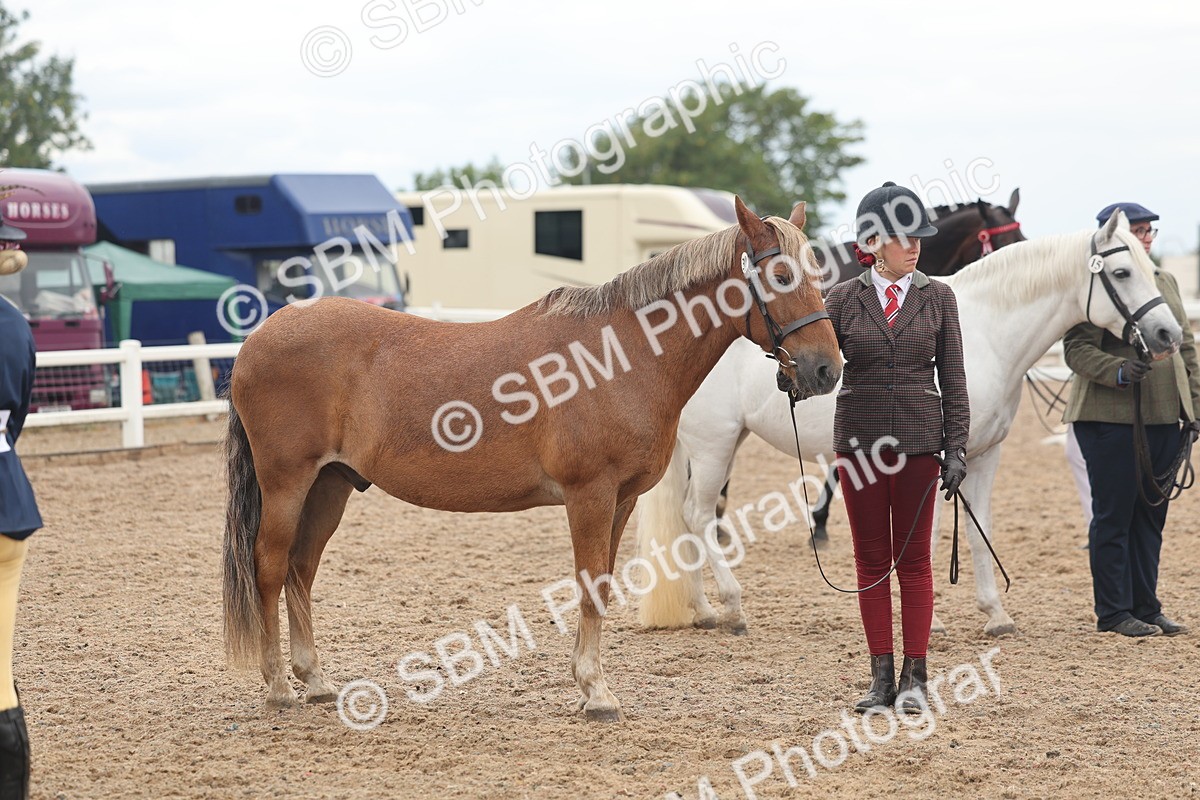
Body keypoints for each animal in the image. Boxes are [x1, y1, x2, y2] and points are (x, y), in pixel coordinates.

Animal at [221, 197, 842, 722]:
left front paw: (590, 684)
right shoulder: (589, 494)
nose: (825, 370)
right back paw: (278, 687)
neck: (619, 356)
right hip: (287, 483)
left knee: (301, 569)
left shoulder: (620, 499)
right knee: (270, 567)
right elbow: (590, 584)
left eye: (819, 274)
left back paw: (316, 680)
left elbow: (604, 584)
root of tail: (258, 338)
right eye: (781, 276)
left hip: (331, 485)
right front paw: (595, 691)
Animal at [634, 210, 1183, 638]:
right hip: (714, 444)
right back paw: (732, 607)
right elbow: (931, 533)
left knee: (686, 519)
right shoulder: (932, 459)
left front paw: (996, 614)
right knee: (698, 514)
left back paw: (703, 609)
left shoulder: (981, 455)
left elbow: (979, 529)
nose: (1168, 334)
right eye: (1121, 271)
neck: (985, 332)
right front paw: (931, 620)